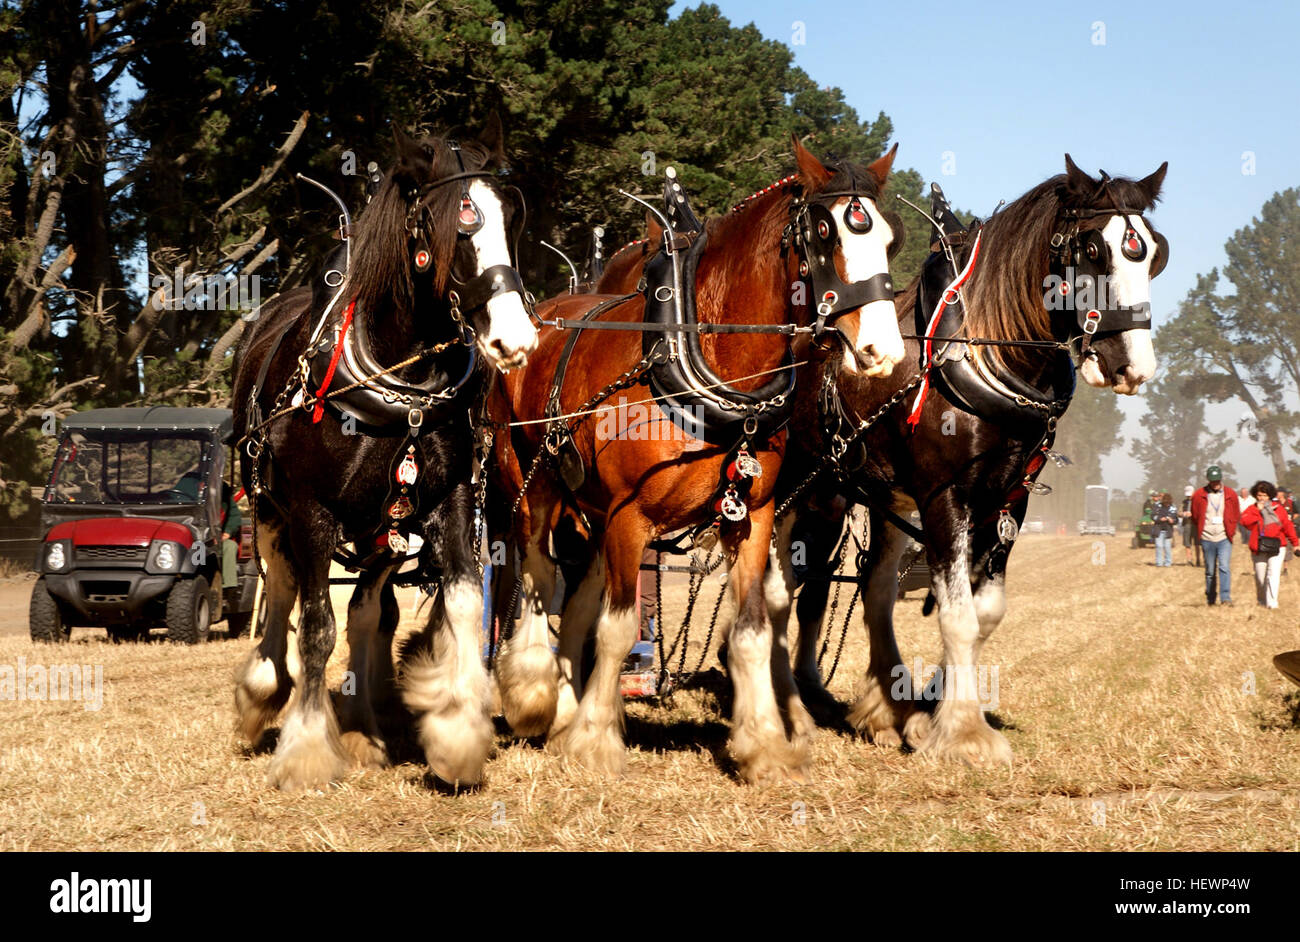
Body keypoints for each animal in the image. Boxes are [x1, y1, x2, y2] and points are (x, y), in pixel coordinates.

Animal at [231, 116, 538, 790]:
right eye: (458, 226)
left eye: (512, 218)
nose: (516, 339)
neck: (400, 375)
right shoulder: (310, 512)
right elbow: (315, 627)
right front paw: (306, 750)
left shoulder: (449, 500)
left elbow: (461, 600)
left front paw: (456, 734)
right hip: (266, 505)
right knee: (284, 592)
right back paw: (263, 692)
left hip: (383, 530)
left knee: (367, 612)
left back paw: (362, 728)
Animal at [488, 137, 906, 783]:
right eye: (824, 232)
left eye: (889, 238)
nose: (883, 350)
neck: (698, 353)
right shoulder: (630, 517)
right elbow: (617, 628)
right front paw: (597, 742)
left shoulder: (751, 516)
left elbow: (752, 629)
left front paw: (765, 746)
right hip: (531, 484)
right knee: (536, 572)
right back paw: (535, 696)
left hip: (591, 513)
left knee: (577, 598)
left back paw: (566, 710)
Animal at [768, 155, 1168, 765]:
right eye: (1093, 249)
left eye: (1152, 253)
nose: (1134, 366)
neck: (987, 351)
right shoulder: (945, 496)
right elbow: (956, 615)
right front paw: (964, 734)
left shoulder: (1009, 502)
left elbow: (984, 614)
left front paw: (936, 703)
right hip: (804, 488)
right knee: (786, 582)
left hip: (876, 494)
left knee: (871, 588)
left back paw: (888, 709)